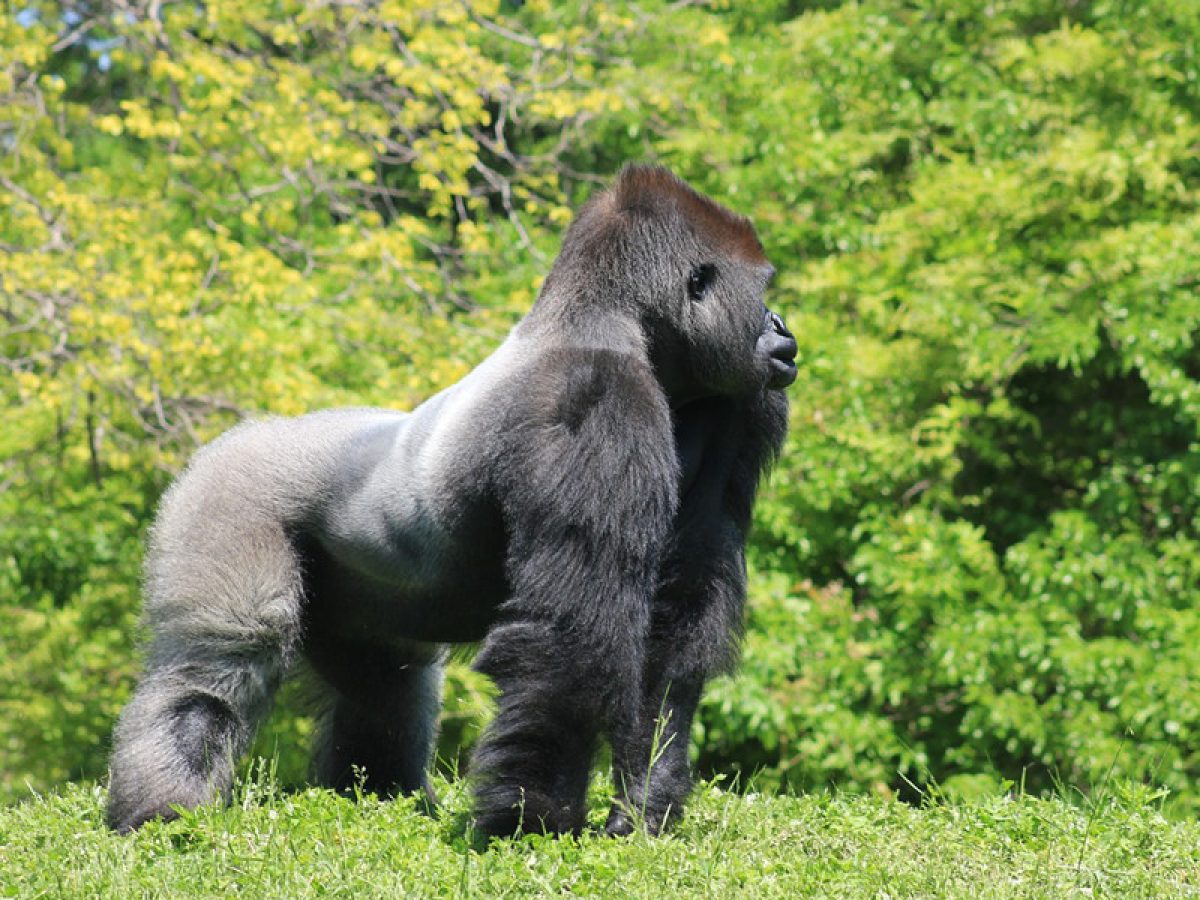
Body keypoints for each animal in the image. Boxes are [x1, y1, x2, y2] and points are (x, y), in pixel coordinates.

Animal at [105, 164, 797, 837]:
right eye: (762, 291)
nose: (782, 326)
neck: (618, 324)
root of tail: (231, 439)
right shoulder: (595, 397)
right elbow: (570, 644)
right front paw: (534, 824)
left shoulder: (732, 403)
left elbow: (675, 621)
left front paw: (644, 808)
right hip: (224, 497)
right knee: (217, 668)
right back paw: (162, 811)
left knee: (386, 686)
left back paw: (380, 795)